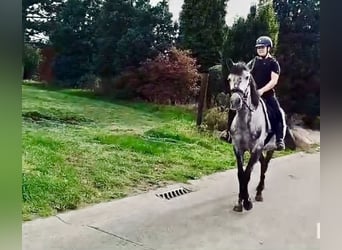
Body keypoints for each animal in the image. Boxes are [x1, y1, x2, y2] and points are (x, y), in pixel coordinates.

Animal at [227, 60, 286, 211]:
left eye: (247, 77)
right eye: (229, 78)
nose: (235, 101)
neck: (246, 122)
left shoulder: (256, 149)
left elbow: (247, 174)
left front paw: (247, 202)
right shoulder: (238, 149)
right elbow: (241, 174)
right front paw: (240, 202)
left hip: (269, 148)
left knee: (265, 166)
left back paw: (259, 192)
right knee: (263, 164)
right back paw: (260, 188)